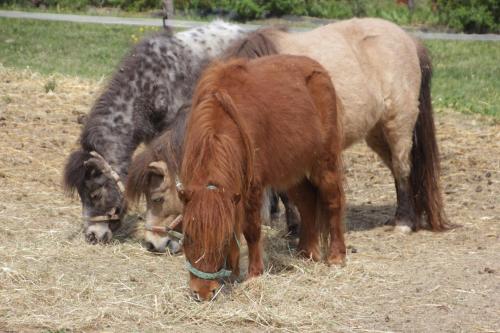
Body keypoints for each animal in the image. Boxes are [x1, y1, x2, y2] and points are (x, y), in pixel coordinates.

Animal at [181, 53, 348, 298]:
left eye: (222, 240)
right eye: (188, 236)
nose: (202, 292)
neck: (222, 115)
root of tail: (317, 67)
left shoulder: (253, 187)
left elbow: (251, 229)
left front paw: (254, 273)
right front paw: (231, 273)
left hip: (324, 163)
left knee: (332, 201)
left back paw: (336, 256)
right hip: (292, 172)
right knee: (307, 203)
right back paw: (306, 252)